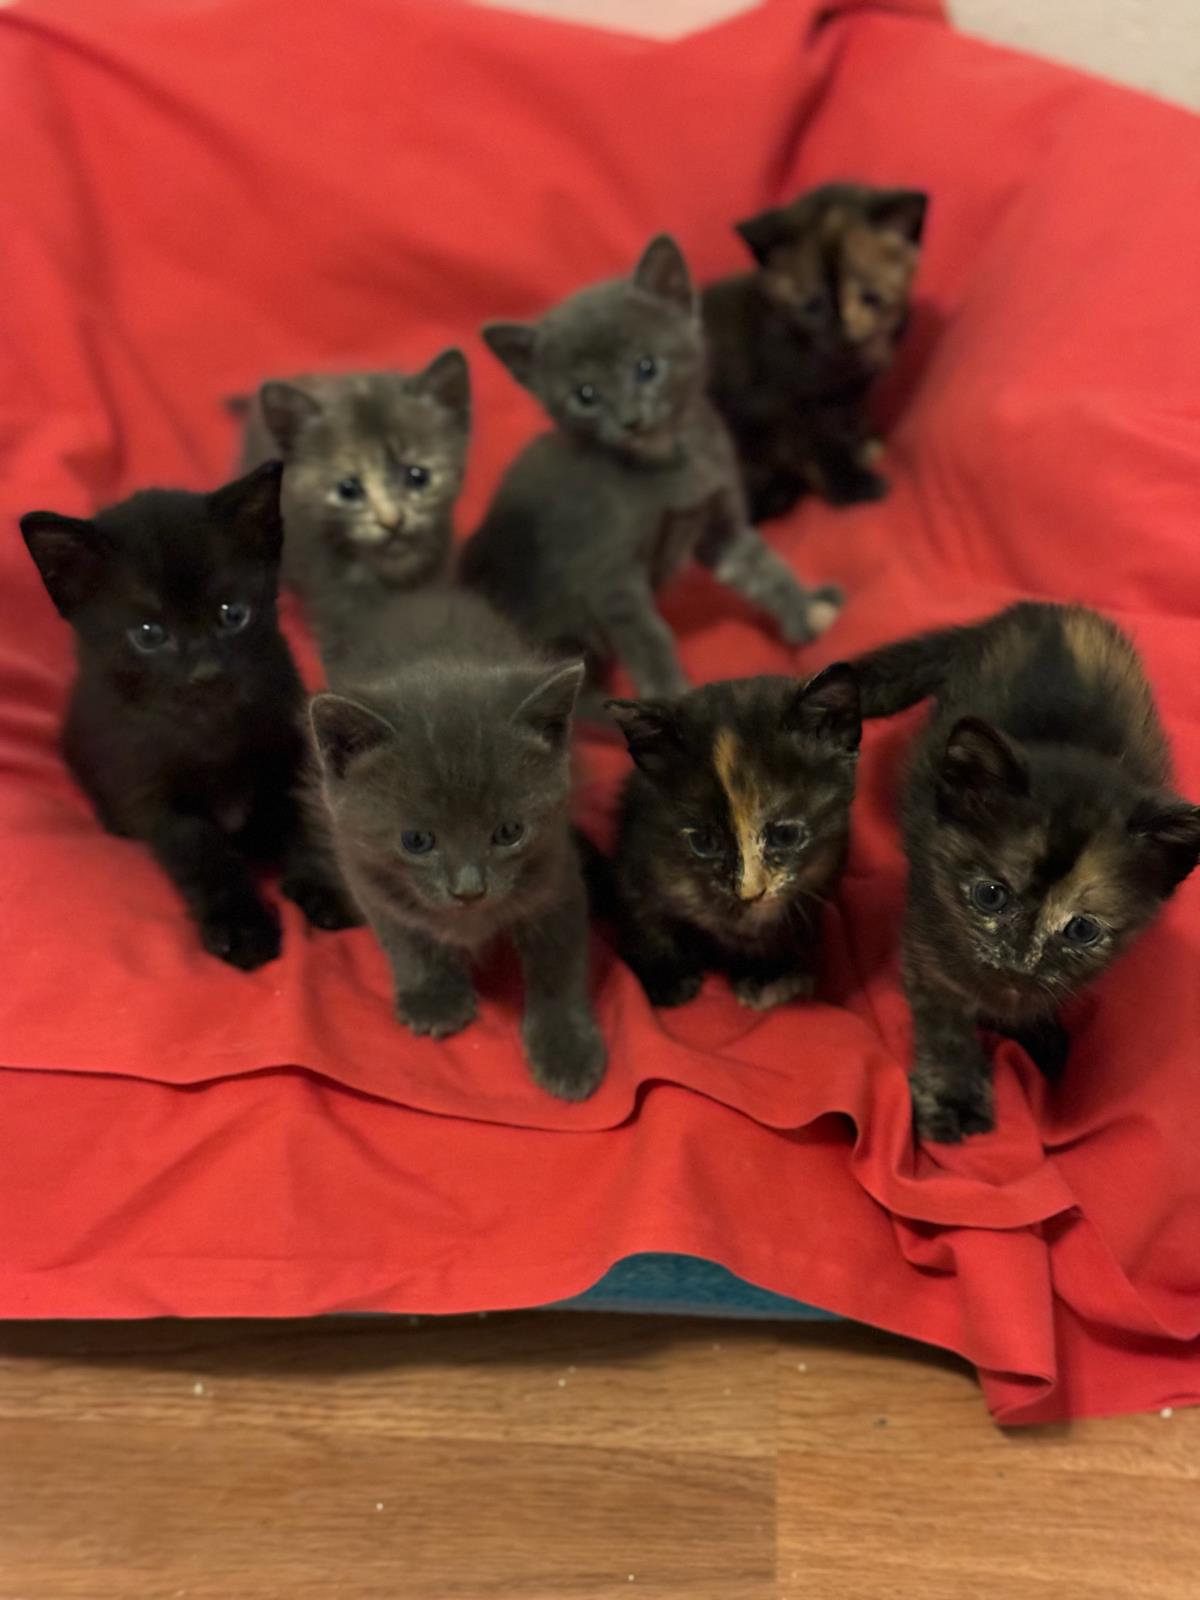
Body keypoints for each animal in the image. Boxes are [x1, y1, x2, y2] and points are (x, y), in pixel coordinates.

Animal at [21, 457, 355, 966]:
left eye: (232, 614)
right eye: (149, 634)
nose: (206, 672)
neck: (209, 728)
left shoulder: (293, 744)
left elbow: (307, 808)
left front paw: (325, 883)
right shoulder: (151, 792)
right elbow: (201, 851)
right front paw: (241, 924)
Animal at [460, 233, 844, 700]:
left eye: (646, 367)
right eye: (585, 395)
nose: (631, 420)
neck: (669, 465)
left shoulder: (720, 523)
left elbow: (761, 566)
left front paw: (804, 609)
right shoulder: (607, 573)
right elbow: (647, 636)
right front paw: (670, 695)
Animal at [604, 665, 857, 1011]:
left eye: (785, 835)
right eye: (704, 842)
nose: (750, 892)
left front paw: (770, 976)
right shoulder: (638, 856)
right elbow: (644, 920)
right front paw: (667, 979)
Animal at [704, 182, 928, 521]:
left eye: (870, 297)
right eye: (812, 305)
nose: (842, 329)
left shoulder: (849, 396)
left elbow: (851, 420)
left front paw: (864, 446)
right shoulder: (782, 409)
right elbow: (821, 449)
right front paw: (855, 487)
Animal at [857, 598, 1200, 1139]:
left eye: (1081, 929)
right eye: (990, 896)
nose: (1020, 958)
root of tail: (1038, 607)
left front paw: (1032, 1028)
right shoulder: (926, 938)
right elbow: (945, 1024)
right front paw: (954, 1095)